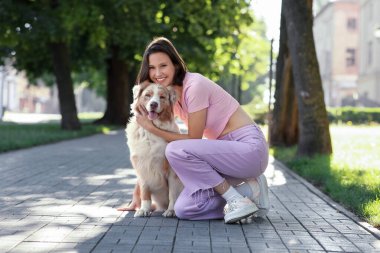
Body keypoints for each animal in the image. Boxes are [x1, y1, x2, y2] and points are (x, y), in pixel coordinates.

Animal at [125, 82, 183, 216]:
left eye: (162, 97)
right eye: (148, 95)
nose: (153, 104)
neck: (151, 130)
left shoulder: (172, 170)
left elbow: (173, 192)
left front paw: (171, 210)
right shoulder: (142, 167)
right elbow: (145, 191)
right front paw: (144, 210)